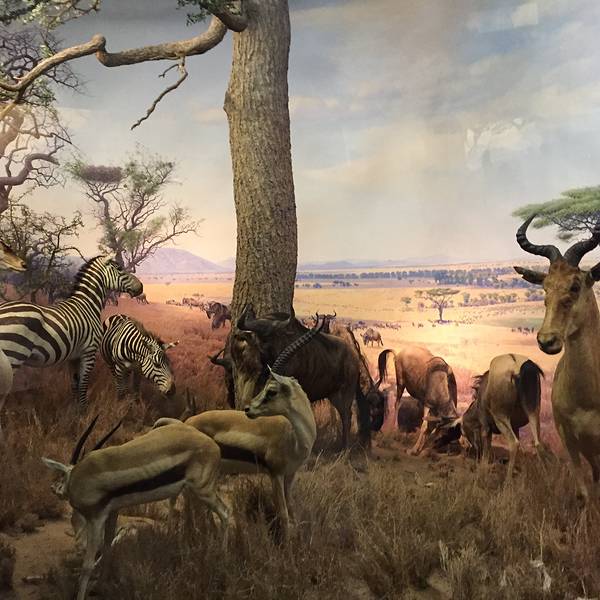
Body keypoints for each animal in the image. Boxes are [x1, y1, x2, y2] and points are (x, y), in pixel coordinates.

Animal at [0, 256, 143, 433]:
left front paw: (75, 415)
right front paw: (84, 415)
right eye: (120, 269)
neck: (88, 306)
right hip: (13, 356)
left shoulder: (73, 356)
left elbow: (75, 385)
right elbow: (83, 384)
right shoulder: (89, 352)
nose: (141, 287)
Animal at [42, 417, 230, 600]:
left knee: (225, 513)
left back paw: (222, 557)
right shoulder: (112, 512)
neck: (81, 476)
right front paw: (100, 587)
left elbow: (87, 565)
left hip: (204, 491)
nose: (53, 488)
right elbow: (108, 547)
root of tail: (211, 444)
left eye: (62, 474)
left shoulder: (96, 519)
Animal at [155, 318, 320, 540]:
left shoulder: (290, 475)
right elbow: (283, 514)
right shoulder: (275, 475)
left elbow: (293, 511)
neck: (293, 439)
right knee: (186, 499)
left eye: (271, 390)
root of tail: (186, 423)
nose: (248, 409)